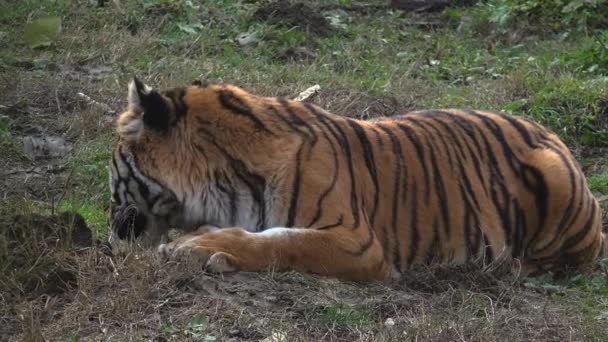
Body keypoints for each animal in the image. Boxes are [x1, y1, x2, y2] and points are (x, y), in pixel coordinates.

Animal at [110, 77, 608, 280]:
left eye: (113, 167)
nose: (112, 227)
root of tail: (554, 135)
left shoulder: (355, 240)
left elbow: (281, 241)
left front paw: (192, 246)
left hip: (555, 183)